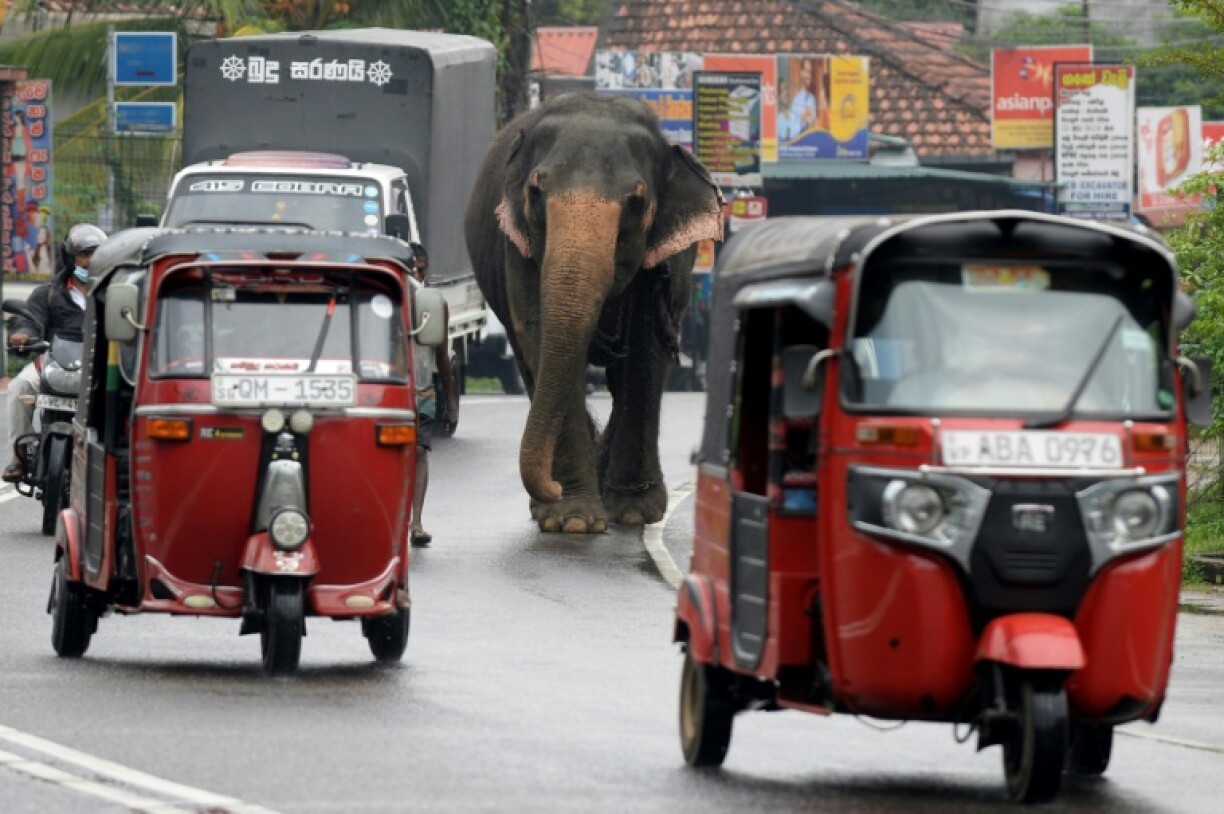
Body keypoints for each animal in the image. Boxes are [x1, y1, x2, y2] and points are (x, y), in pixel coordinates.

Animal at [464, 92, 724, 533]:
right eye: (535, 192)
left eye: (636, 203)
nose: (550, 488)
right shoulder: (517, 246)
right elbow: (540, 334)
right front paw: (571, 519)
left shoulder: (663, 262)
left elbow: (644, 350)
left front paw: (634, 513)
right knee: (530, 366)